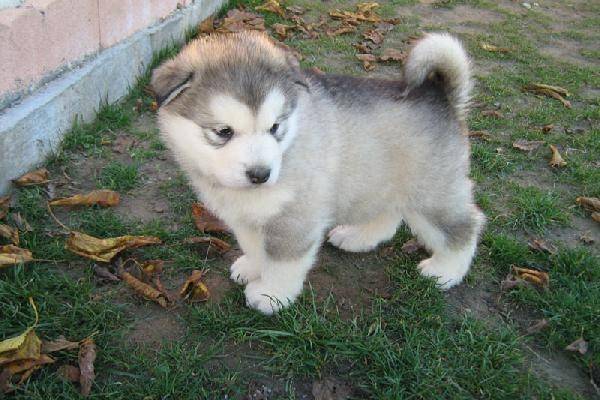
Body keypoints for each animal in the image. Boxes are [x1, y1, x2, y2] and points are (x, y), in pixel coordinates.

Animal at [152, 31, 486, 314]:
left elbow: (282, 262)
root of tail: (439, 93)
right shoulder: (247, 217)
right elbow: (255, 247)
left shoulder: (295, 219)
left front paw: (270, 295)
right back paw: (358, 237)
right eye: (223, 131)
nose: (261, 174)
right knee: (389, 215)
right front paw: (252, 267)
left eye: (275, 127)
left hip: (431, 190)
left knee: (465, 225)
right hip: (380, 179)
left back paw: (446, 270)